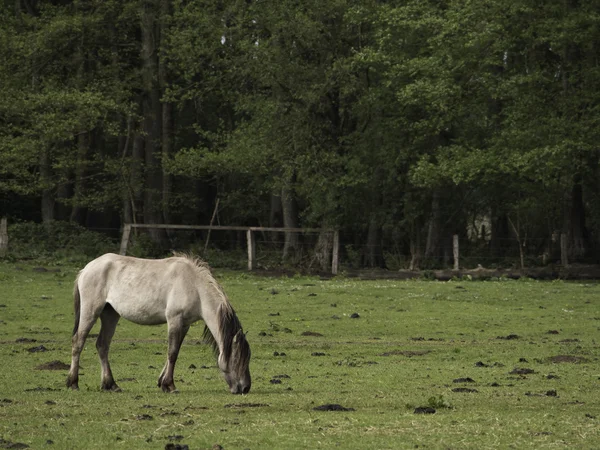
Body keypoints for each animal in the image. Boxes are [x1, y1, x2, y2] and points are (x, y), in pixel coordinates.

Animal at [65, 253, 251, 394]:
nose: (245, 388)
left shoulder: (184, 324)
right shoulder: (175, 320)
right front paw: (170, 385)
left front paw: (162, 382)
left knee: (102, 345)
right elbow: (172, 353)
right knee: (78, 342)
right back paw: (73, 383)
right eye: (237, 358)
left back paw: (110, 385)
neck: (194, 285)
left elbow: (174, 352)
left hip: (110, 314)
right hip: (91, 312)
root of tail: (86, 269)